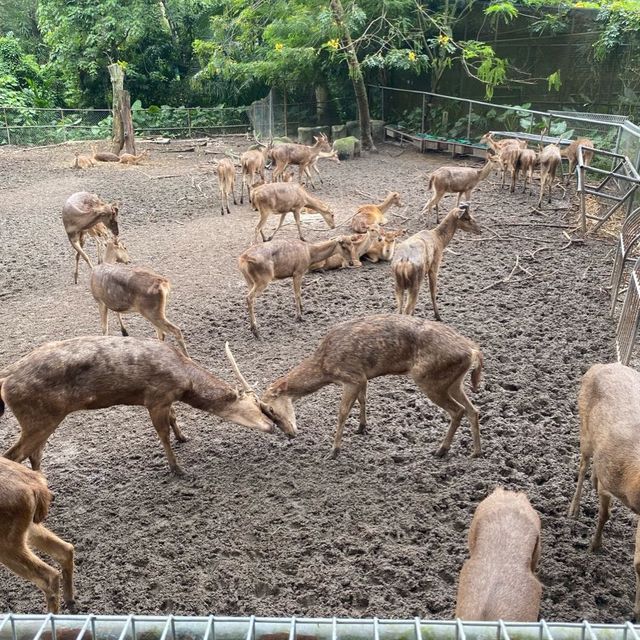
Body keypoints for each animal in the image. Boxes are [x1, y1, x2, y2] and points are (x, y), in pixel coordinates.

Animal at [0, 458, 75, 612]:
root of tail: (36, 486)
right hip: (27, 527)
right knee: (66, 549)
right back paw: (70, 601)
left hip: (6, 542)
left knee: (49, 576)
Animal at [1, 336, 278, 476]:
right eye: (258, 405)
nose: (272, 425)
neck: (185, 381)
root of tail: (6, 380)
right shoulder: (156, 397)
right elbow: (162, 433)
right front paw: (178, 469)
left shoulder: (166, 399)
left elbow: (174, 418)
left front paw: (183, 437)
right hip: (39, 416)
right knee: (13, 455)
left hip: (43, 419)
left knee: (34, 454)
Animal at [258, 312, 480, 458]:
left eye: (271, 409)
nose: (290, 434)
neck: (325, 367)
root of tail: (473, 351)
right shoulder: (363, 376)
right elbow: (363, 399)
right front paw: (362, 427)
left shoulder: (351, 376)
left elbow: (342, 412)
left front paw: (334, 451)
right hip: (453, 381)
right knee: (473, 409)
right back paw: (476, 452)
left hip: (429, 379)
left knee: (458, 410)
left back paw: (441, 450)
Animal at [568, 364, 640, 620]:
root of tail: (599, 365)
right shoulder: (609, 484)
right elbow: (603, 516)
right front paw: (594, 546)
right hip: (584, 429)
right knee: (583, 464)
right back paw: (573, 509)